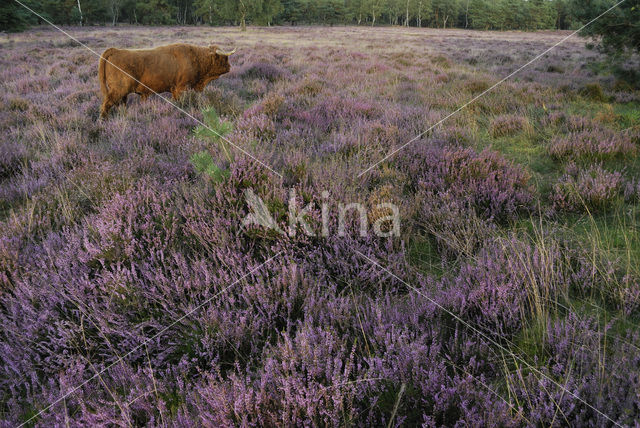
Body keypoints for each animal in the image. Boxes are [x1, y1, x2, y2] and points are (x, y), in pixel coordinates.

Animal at [100, 43, 238, 118]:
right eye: (224, 58)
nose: (229, 67)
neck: (197, 57)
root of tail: (115, 50)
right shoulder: (180, 88)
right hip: (118, 91)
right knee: (106, 105)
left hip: (123, 95)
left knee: (120, 105)